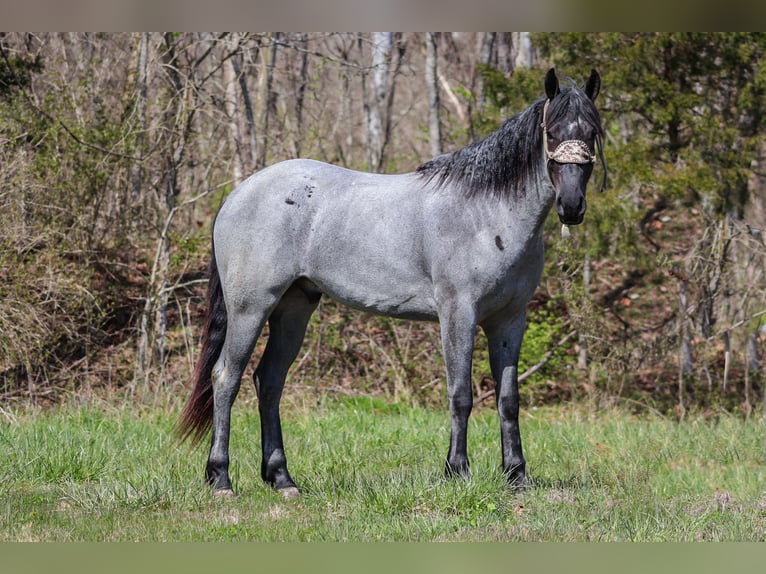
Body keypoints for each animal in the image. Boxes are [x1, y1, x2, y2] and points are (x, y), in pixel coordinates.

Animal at [177, 67, 608, 500]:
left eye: (592, 130)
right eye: (551, 132)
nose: (572, 206)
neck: (485, 214)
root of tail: (237, 195)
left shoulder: (509, 320)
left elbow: (508, 398)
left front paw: (516, 474)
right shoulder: (458, 314)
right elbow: (460, 393)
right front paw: (457, 471)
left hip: (294, 308)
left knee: (268, 382)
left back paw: (282, 479)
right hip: (250, 308)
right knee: (226, 378)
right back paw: (221, 479)